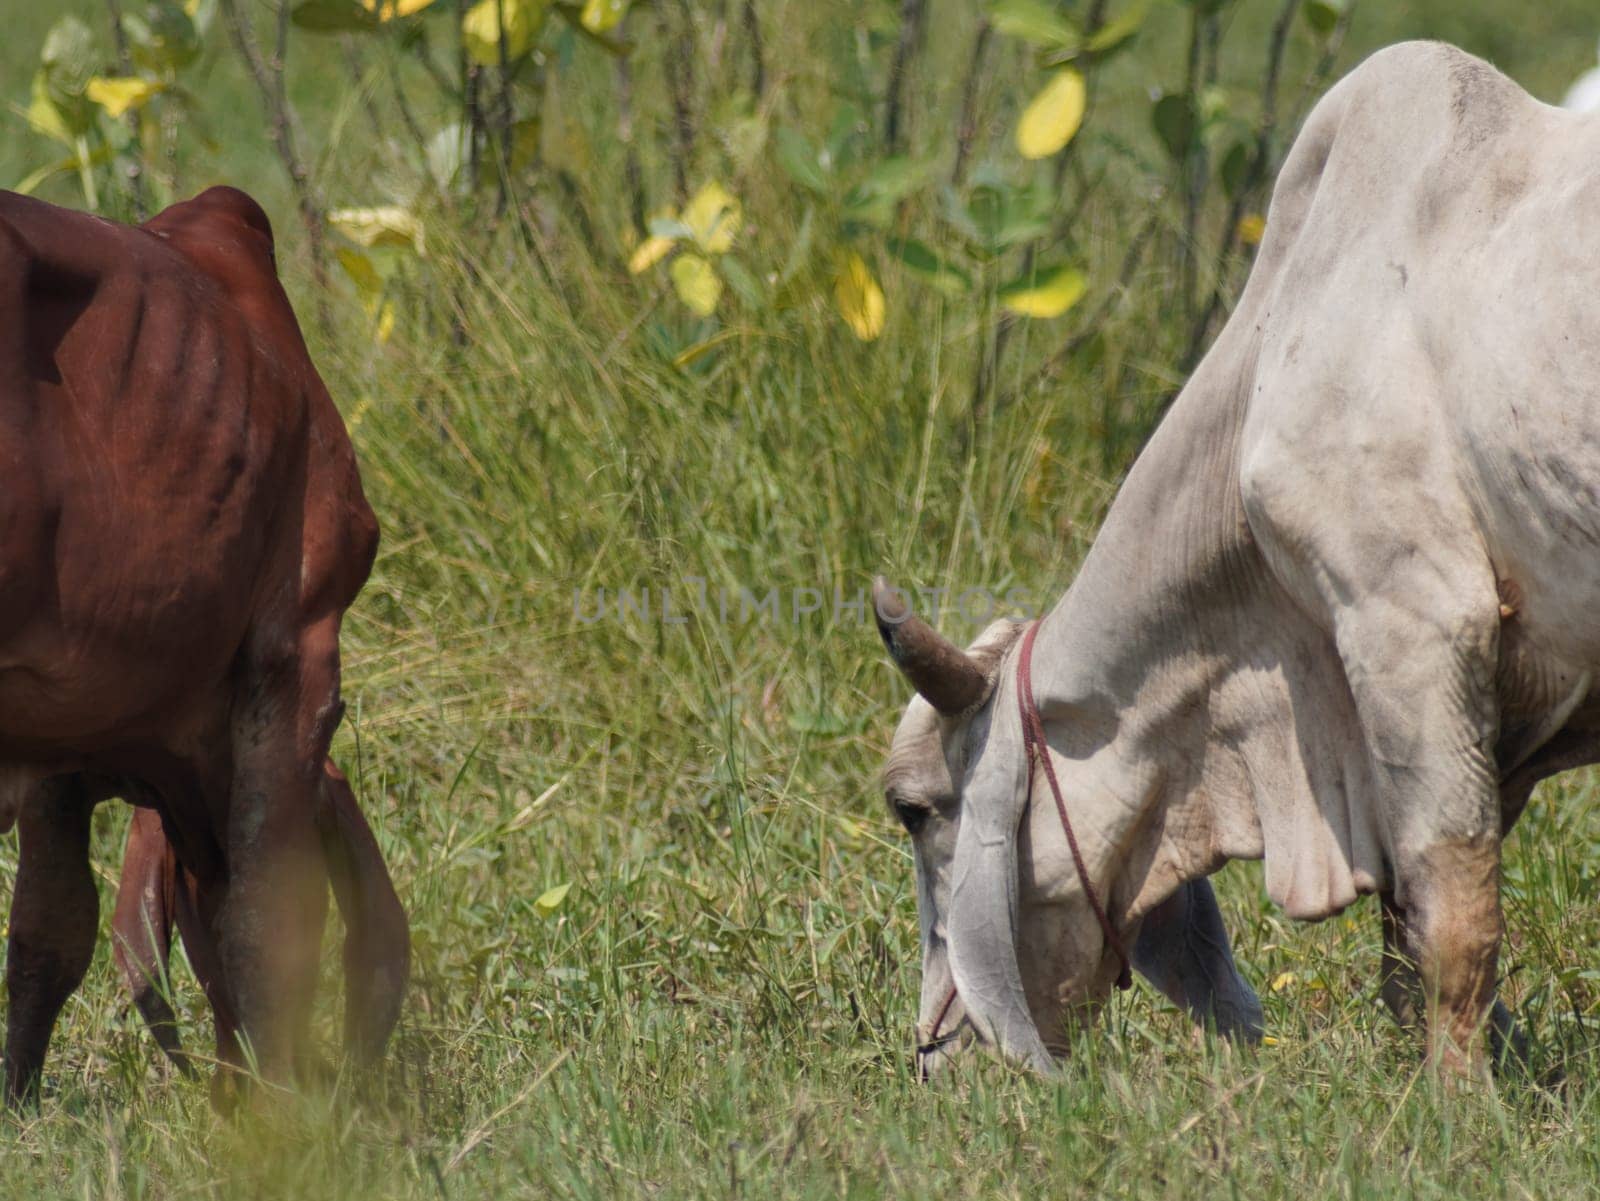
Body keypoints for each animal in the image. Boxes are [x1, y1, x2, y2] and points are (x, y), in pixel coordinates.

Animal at [876, 44, 1600, 1081]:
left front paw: (1458, 1100)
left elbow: (1453, 914)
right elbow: (1410, 934)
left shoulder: (1412, 619)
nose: (934, 1052)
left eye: (913, 807)